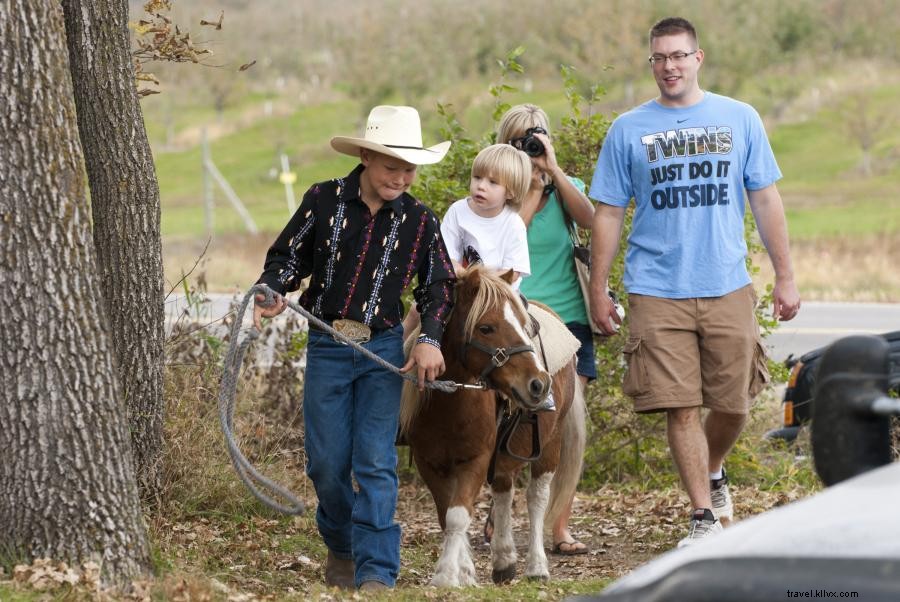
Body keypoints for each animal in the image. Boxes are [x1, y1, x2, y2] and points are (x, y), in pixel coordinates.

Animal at [400, 264, 584, 584]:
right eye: (486, 328)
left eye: (525, 326)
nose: (538, 384)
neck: (449, 402)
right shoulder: (429, 463)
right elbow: (446, 515)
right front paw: (464, 571)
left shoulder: (476, 459)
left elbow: (458, 515)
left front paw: (447, 576)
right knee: (503, 492)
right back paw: (504, 559)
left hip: (550, 442)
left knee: (536, 498)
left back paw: (537, 566)